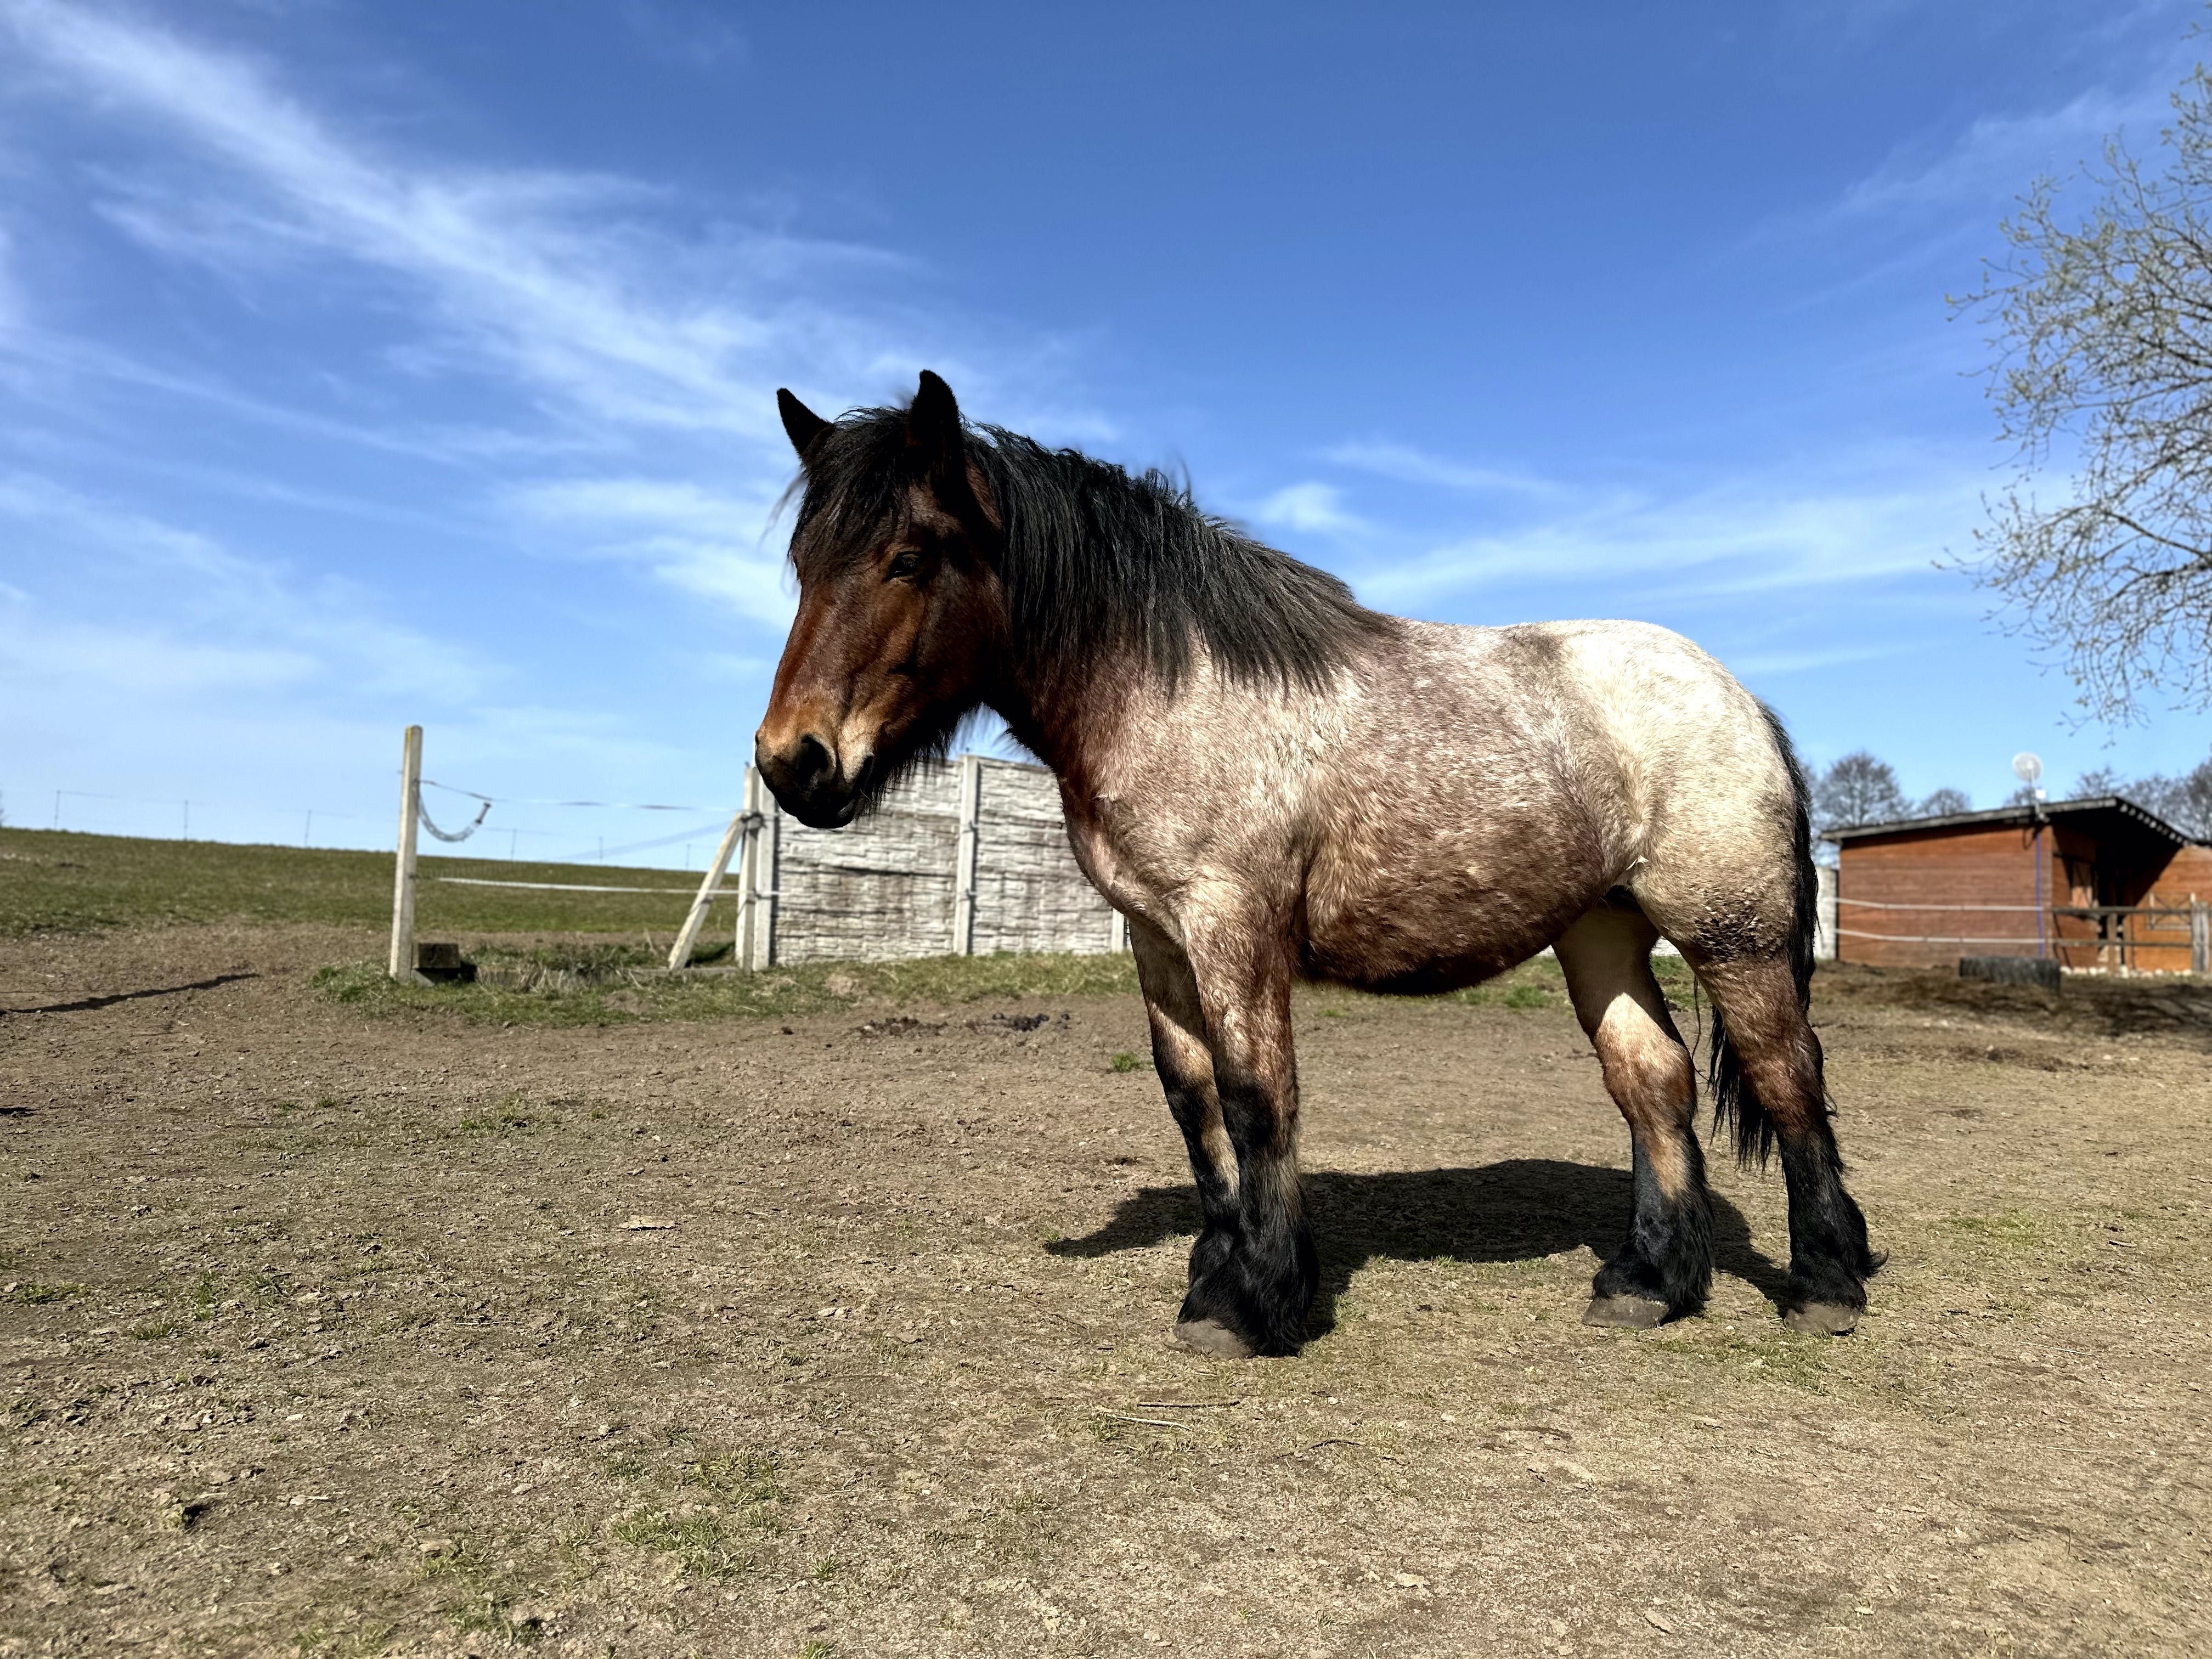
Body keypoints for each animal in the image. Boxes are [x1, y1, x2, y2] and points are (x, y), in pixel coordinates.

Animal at [752, 374, 1876, 1362]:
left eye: (907, 556)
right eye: (804, 563)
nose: (792, 761)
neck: (1168, 686)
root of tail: (1741, 697)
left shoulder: (1231, 926)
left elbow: (1257, 1096)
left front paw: (1253, 1301)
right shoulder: (1156, 937)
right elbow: (1193, 1098)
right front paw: (1217, 1268)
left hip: (1732, 936)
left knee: (1787, 1075)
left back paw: (1825, 1283)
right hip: (1602, 930)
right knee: (1654, 1083)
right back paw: (1651, 1283)